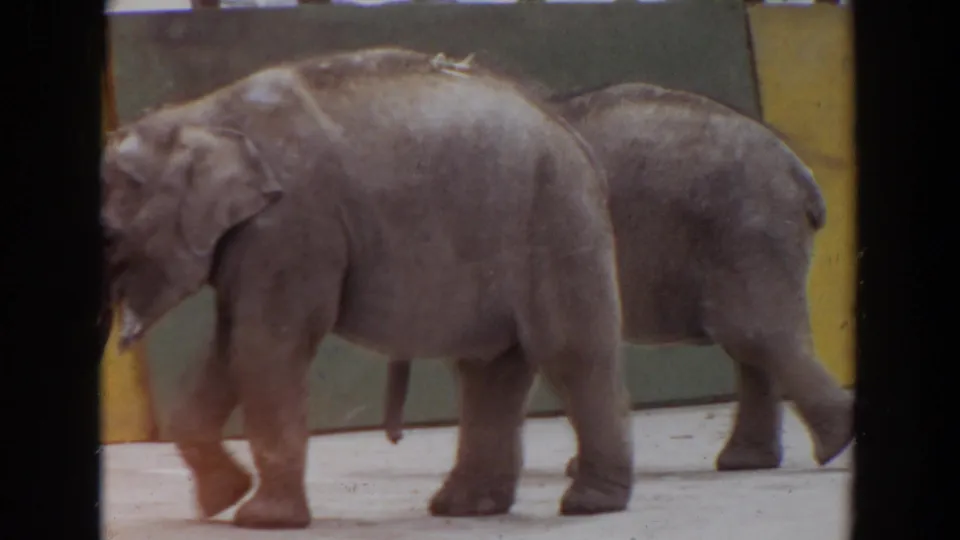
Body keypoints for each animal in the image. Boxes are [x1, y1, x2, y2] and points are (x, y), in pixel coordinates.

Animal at [100, 47, 633, 529]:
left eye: (109, 236)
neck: (198, 116)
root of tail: (572, 133)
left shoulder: (293, 222)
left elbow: (267, 346)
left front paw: (261, 520)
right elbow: (230, 345)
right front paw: (222, 499)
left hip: (559, 218)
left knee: (571, 355)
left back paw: (590, 504)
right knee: (489, 369)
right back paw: (465, 507)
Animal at [381, 81, 854, 475]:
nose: (395, 438)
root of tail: (802, 177)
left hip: (747, 232)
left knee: (753, 334)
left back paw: (832, 444)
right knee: (753, 344)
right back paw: (750, 461)